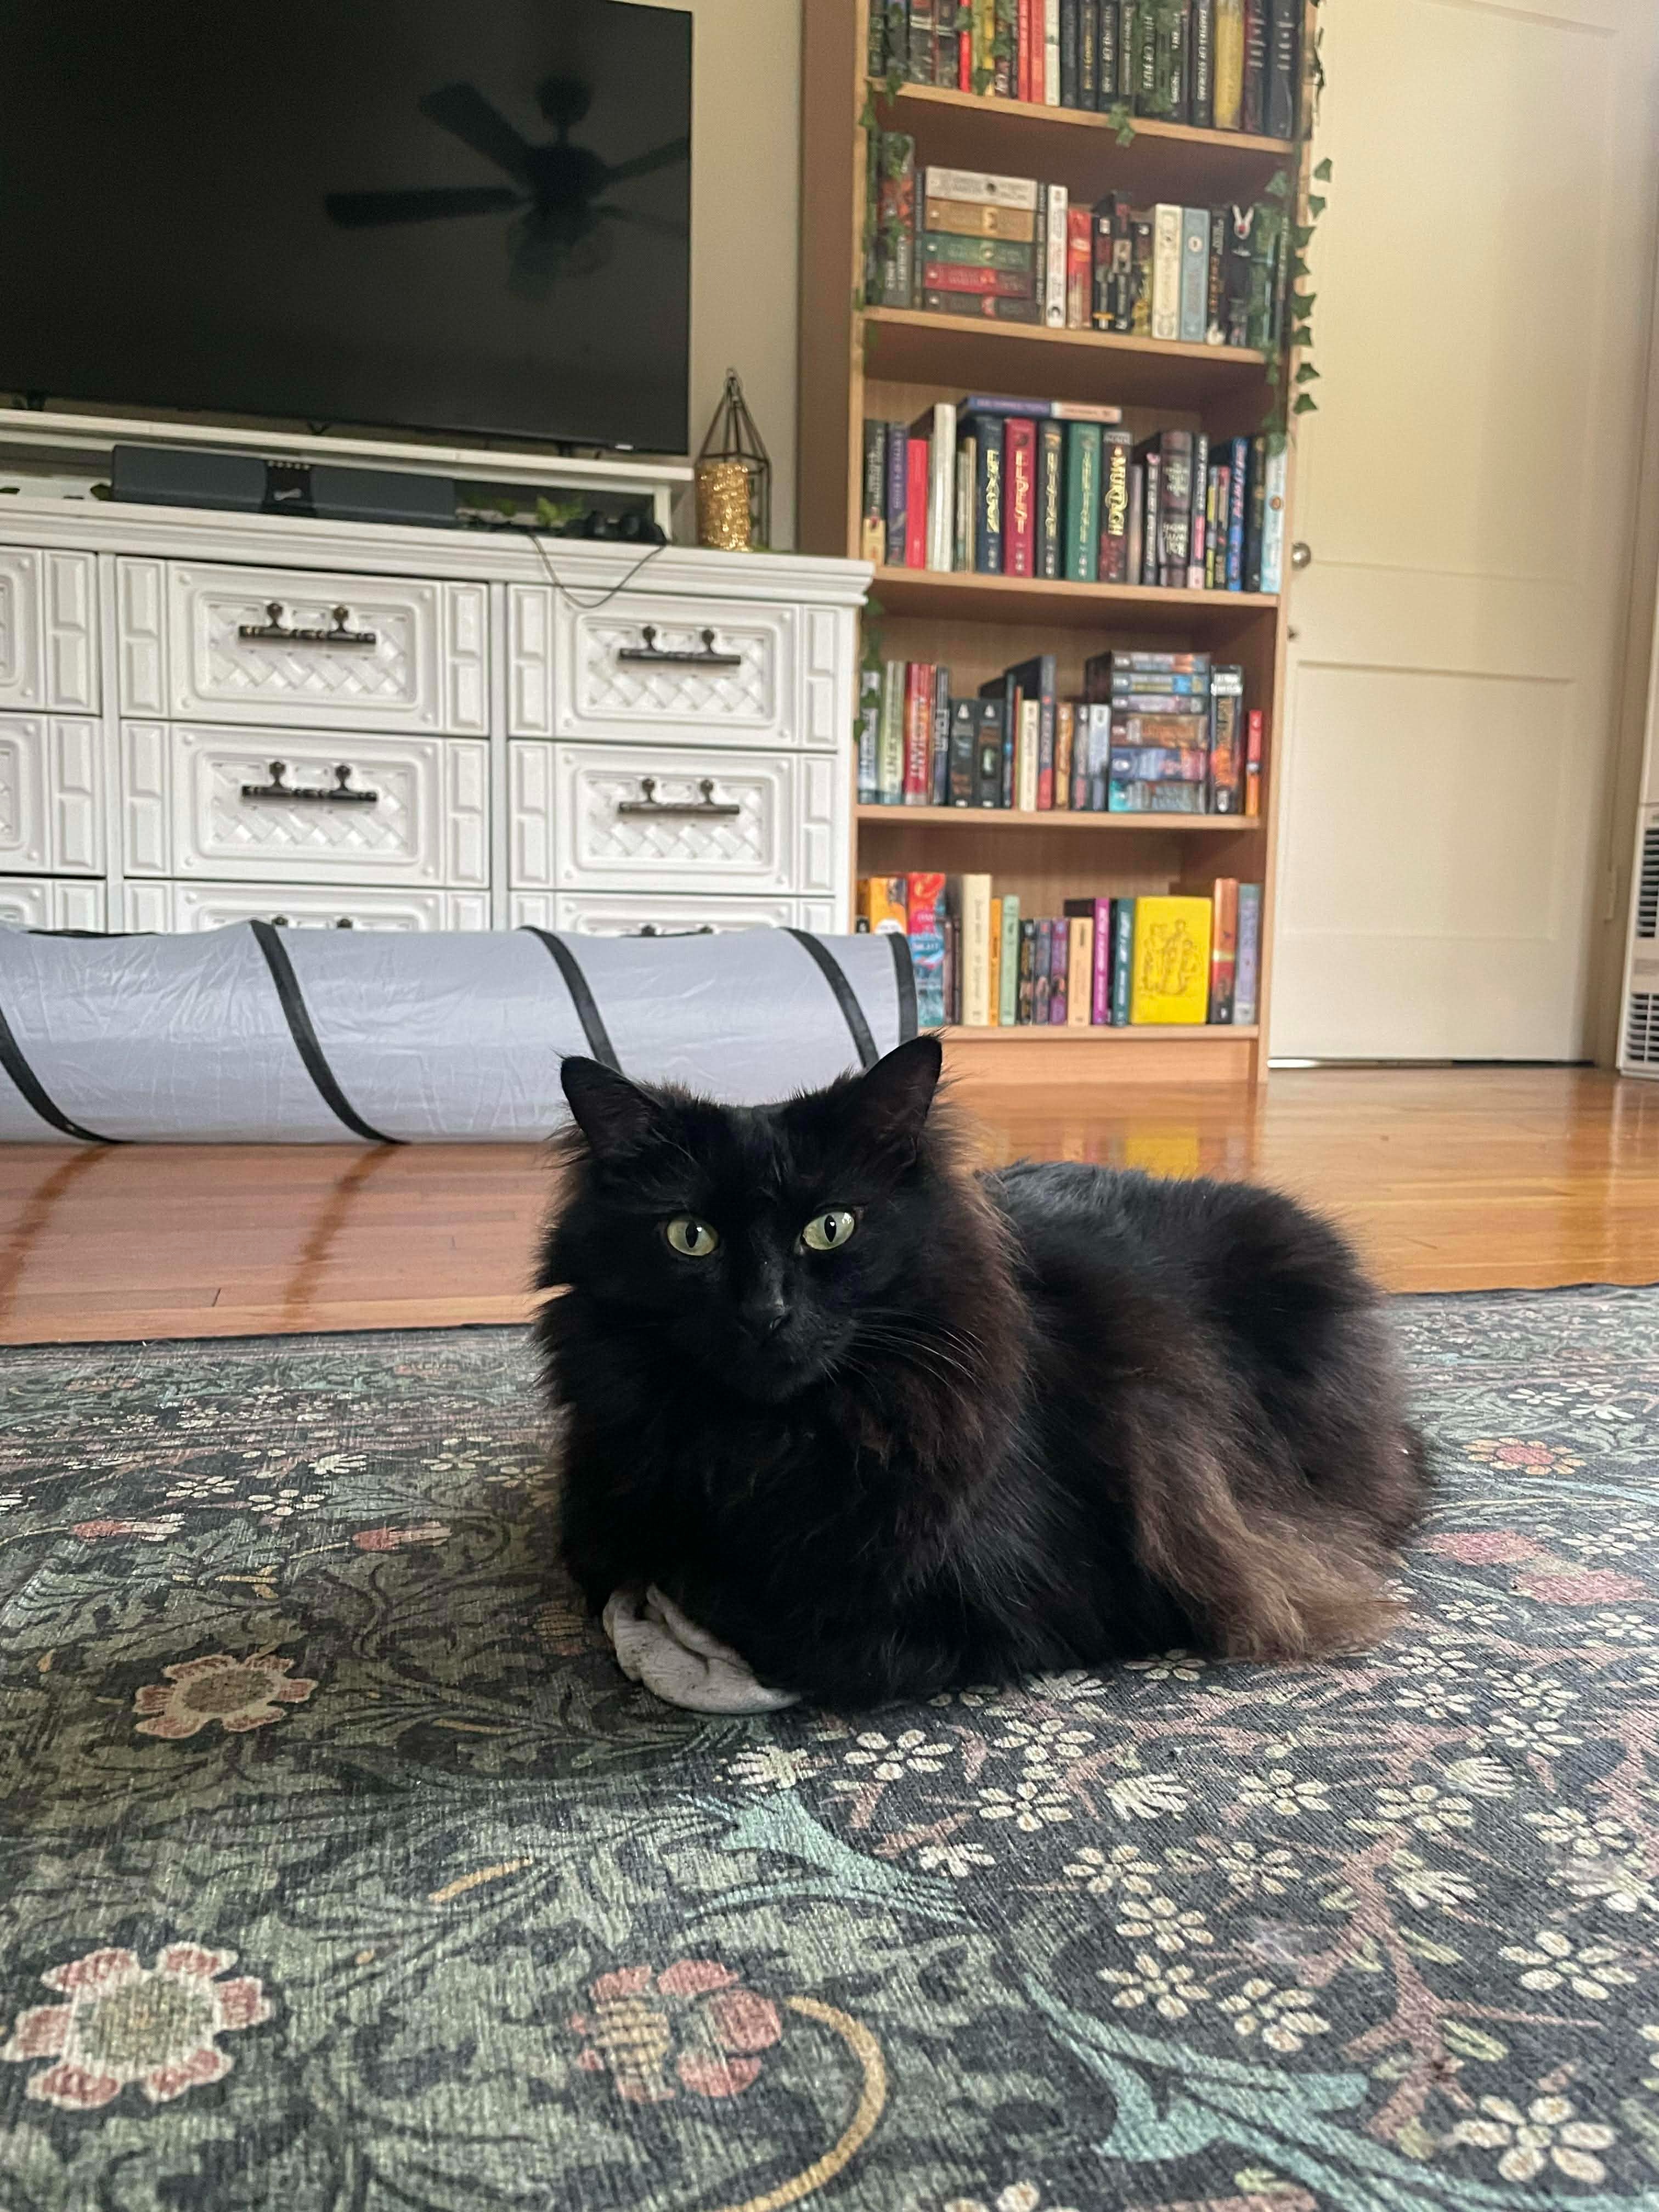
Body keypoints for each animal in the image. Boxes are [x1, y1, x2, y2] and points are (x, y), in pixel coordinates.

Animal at [537, 1036, 1431, 1708]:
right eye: (690, 1238)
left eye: (832, 1227)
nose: (766, 1312)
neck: (767, 1448)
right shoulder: (596, 1518)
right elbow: (619, 1562)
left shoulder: (1046, 1603)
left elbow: (806, 1632)